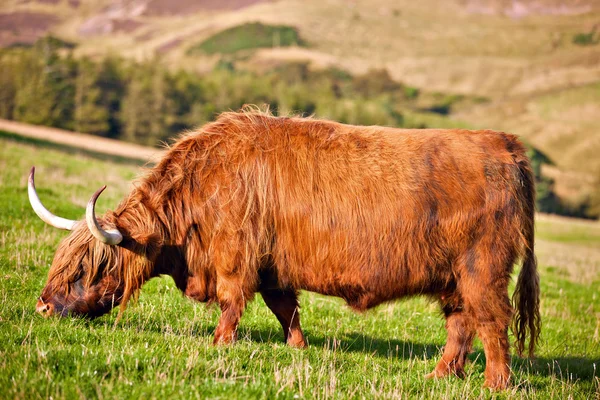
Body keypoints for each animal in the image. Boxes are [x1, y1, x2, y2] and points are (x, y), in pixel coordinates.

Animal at [30, 108, 540, 388]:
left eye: (86, 270)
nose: (42, 307)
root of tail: (506, 144)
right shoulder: (272, 266)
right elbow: (285, 308)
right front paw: (297, 349)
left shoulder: (235, 257)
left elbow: (232, 302)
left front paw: (220, 343)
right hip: (455, 276)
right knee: (460, 322)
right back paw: (440, 375)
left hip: (483, 266)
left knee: (491, 321)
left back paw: (496, 383)